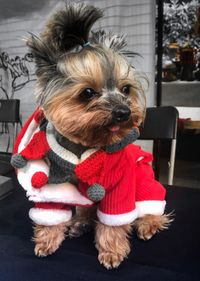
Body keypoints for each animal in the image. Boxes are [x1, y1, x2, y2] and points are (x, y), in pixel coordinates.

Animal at [11, 2, 170, 270]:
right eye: (87, 93)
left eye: (126, 89)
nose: (124, 112)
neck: (82, 146)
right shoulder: (49, 183)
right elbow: (50, 214)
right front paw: (48, 241)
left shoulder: (120, 186)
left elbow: (113, 220)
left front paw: (112, 251)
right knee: (86, 209)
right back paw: (80, 222)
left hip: (144, 184)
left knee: (152, 207)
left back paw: (147, 224)